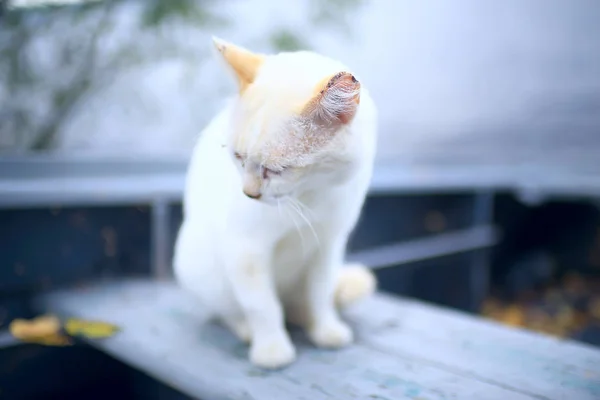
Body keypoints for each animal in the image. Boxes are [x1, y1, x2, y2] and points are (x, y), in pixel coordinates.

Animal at [173, 37, 378, 368]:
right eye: (238, 157)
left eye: (278, 170)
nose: (249, 193)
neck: (311, 195)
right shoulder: (245, 249)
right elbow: (262, 306)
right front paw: (272, 350)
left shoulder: (328, 246)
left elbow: (320, 294)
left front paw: (326, 329)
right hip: (197, 263)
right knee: (228, 310)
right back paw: (246, 329)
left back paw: (303, 317)